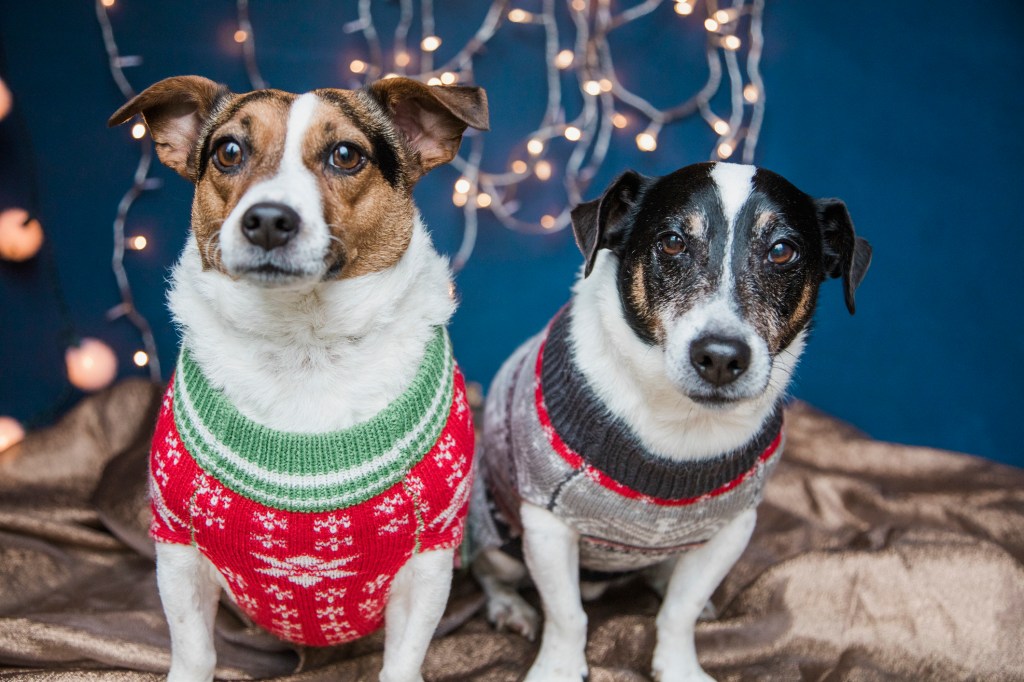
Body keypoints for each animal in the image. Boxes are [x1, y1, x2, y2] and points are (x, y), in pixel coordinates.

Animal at [108, 75, 487, 679]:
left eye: (346, 155)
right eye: (228, 151)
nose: (266, 220)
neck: (303, 342)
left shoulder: (429, 564)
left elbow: (403, 658)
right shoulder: (178, 553)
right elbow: (193, 649)